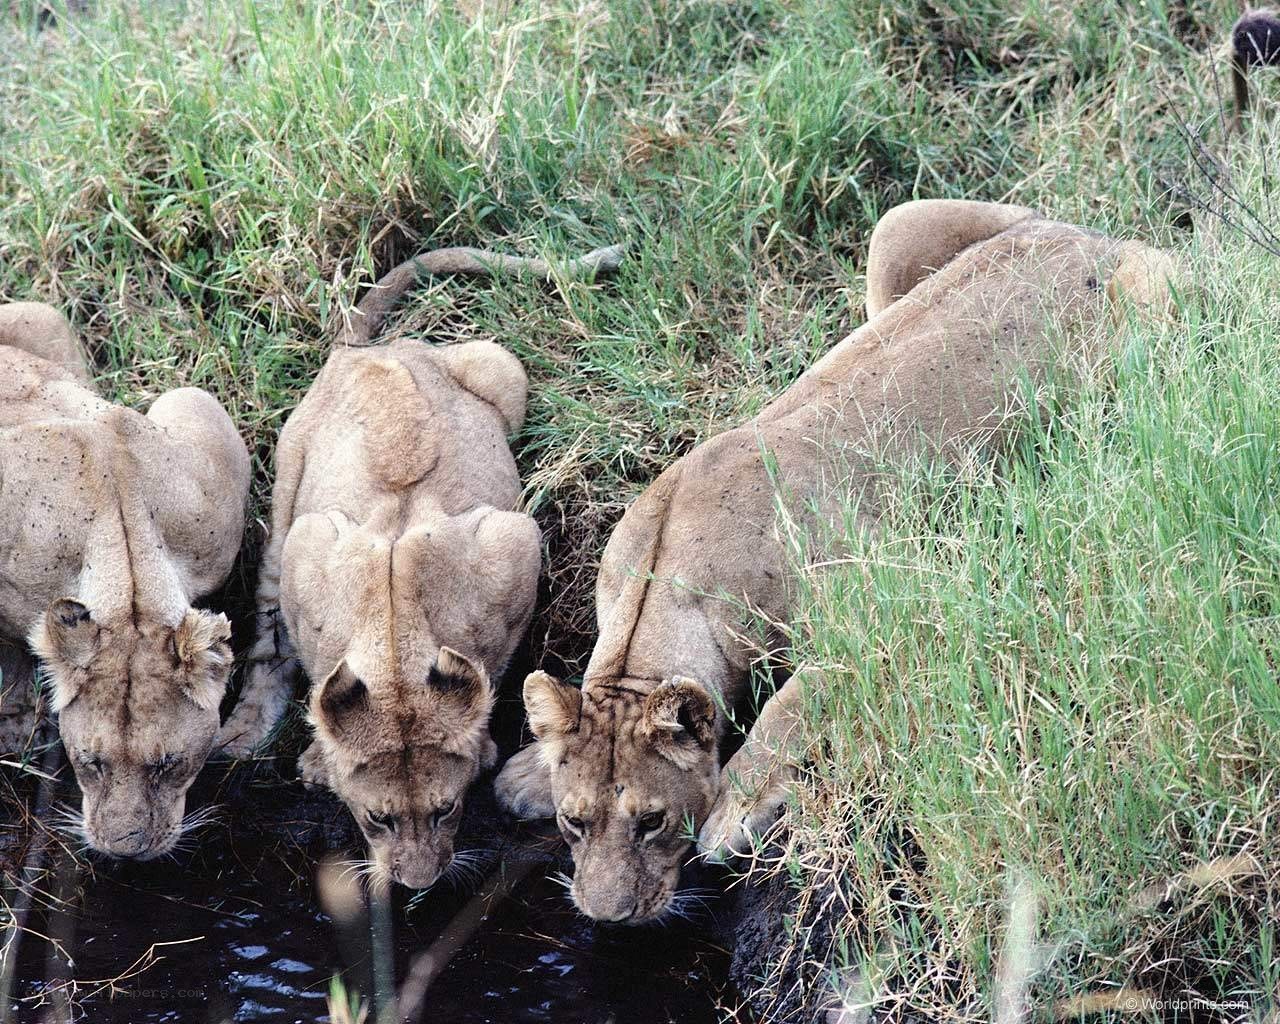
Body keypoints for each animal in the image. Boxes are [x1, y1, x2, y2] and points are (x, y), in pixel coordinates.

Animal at [0, 301, 250, 859]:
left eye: (167, 764)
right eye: (91, 763)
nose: (125, 849)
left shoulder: (201, 426)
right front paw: (17, 722)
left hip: (40, 315)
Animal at [216, 241, 624, 889]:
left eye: (446, 809)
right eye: (376, 818)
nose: (418, 884)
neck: (395, 656)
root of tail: (369, 351)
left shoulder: (512, 542)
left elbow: (491, 668)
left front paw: (479, 745)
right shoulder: (312, 545)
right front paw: (322, 756)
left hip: (501, 366)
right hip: (286, 480)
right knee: (268, 617)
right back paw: (247, 729)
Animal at [494, 200, 1181, 923]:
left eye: (651, 821)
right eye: (574, 823)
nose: (607, 916)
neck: (657, 600)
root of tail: (1091, 236)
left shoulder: (880, 609)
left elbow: (786, 711)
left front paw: (731, 814)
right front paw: (527, 772)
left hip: (1147, 314)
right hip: (896, 230)